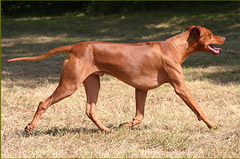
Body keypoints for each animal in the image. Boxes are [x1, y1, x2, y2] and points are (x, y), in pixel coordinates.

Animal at [6, 26, 226, 133]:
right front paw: (212, 124)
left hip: (93, 83)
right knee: (44, 102)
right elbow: (198, 108)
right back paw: (30, 127)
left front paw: (126, 125)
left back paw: (107, 130)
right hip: (69, 84)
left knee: (90, 110)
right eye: (210, 34)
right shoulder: (180, 87)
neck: (174, 47)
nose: (224, 38)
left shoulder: (141, 89)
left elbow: (139, 116)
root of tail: (76, 46)